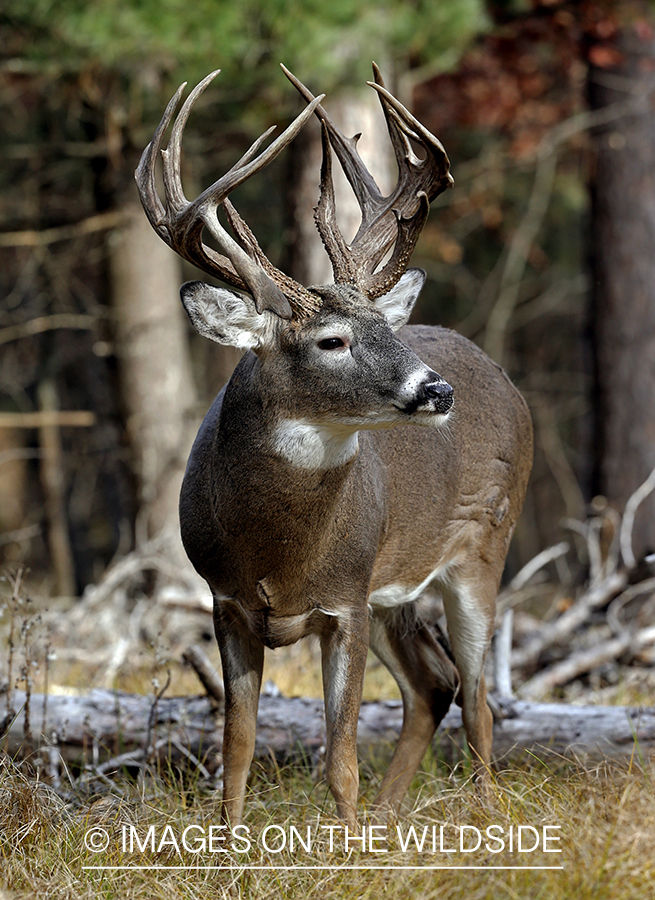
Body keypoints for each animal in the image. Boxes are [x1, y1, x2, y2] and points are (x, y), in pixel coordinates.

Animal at [137, 63, 532, 828]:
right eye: (332, 340)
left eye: (385, 326)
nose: (435, 390)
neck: (278, 554)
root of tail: (503, 378)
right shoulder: (226, 600)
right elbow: (237, 746)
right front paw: (230, 844)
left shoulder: (344, 599)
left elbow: (340, 755)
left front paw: (345, 844)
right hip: (393, 590)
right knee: (433, 684)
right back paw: (388, 819)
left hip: (481, 548)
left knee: (478, 698)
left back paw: (482, 818)